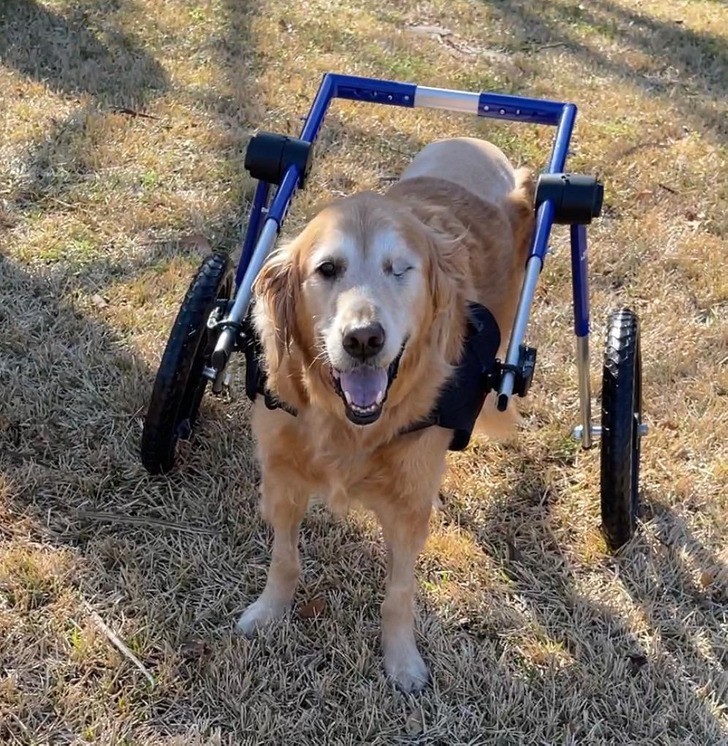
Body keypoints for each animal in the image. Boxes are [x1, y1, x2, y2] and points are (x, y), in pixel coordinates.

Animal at [237, 137, 536, 688]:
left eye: (400, 269)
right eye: (327, 269)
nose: (363, 339)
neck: (348, 427)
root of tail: (474, 140)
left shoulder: (408, 508)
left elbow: (399, 593)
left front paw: (402, 660)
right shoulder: (282, 478)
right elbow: (284, 558)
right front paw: (269, 611)